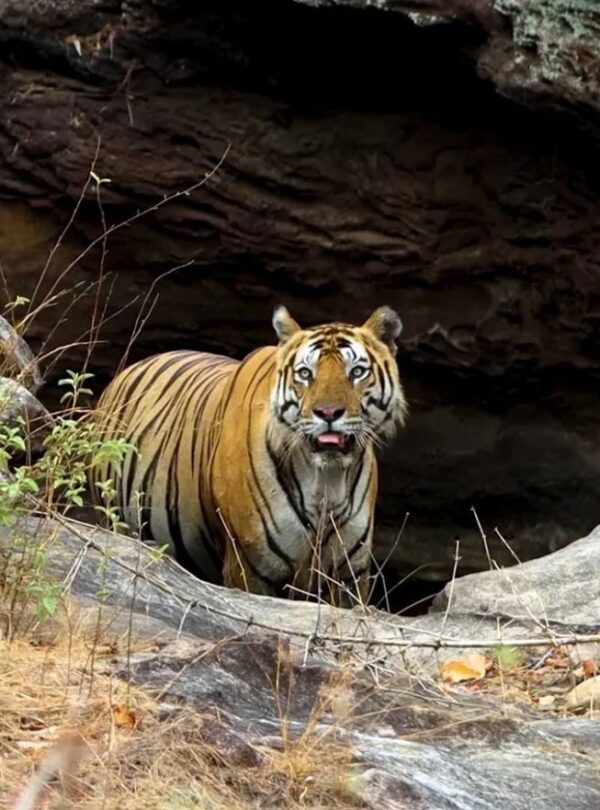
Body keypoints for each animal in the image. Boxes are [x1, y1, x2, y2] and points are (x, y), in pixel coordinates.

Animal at [89, 306, 407, 607]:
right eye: (305, 373)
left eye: (357, 372)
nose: (328, 413)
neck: (325, 482)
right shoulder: (250, 565)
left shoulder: (350, 573)